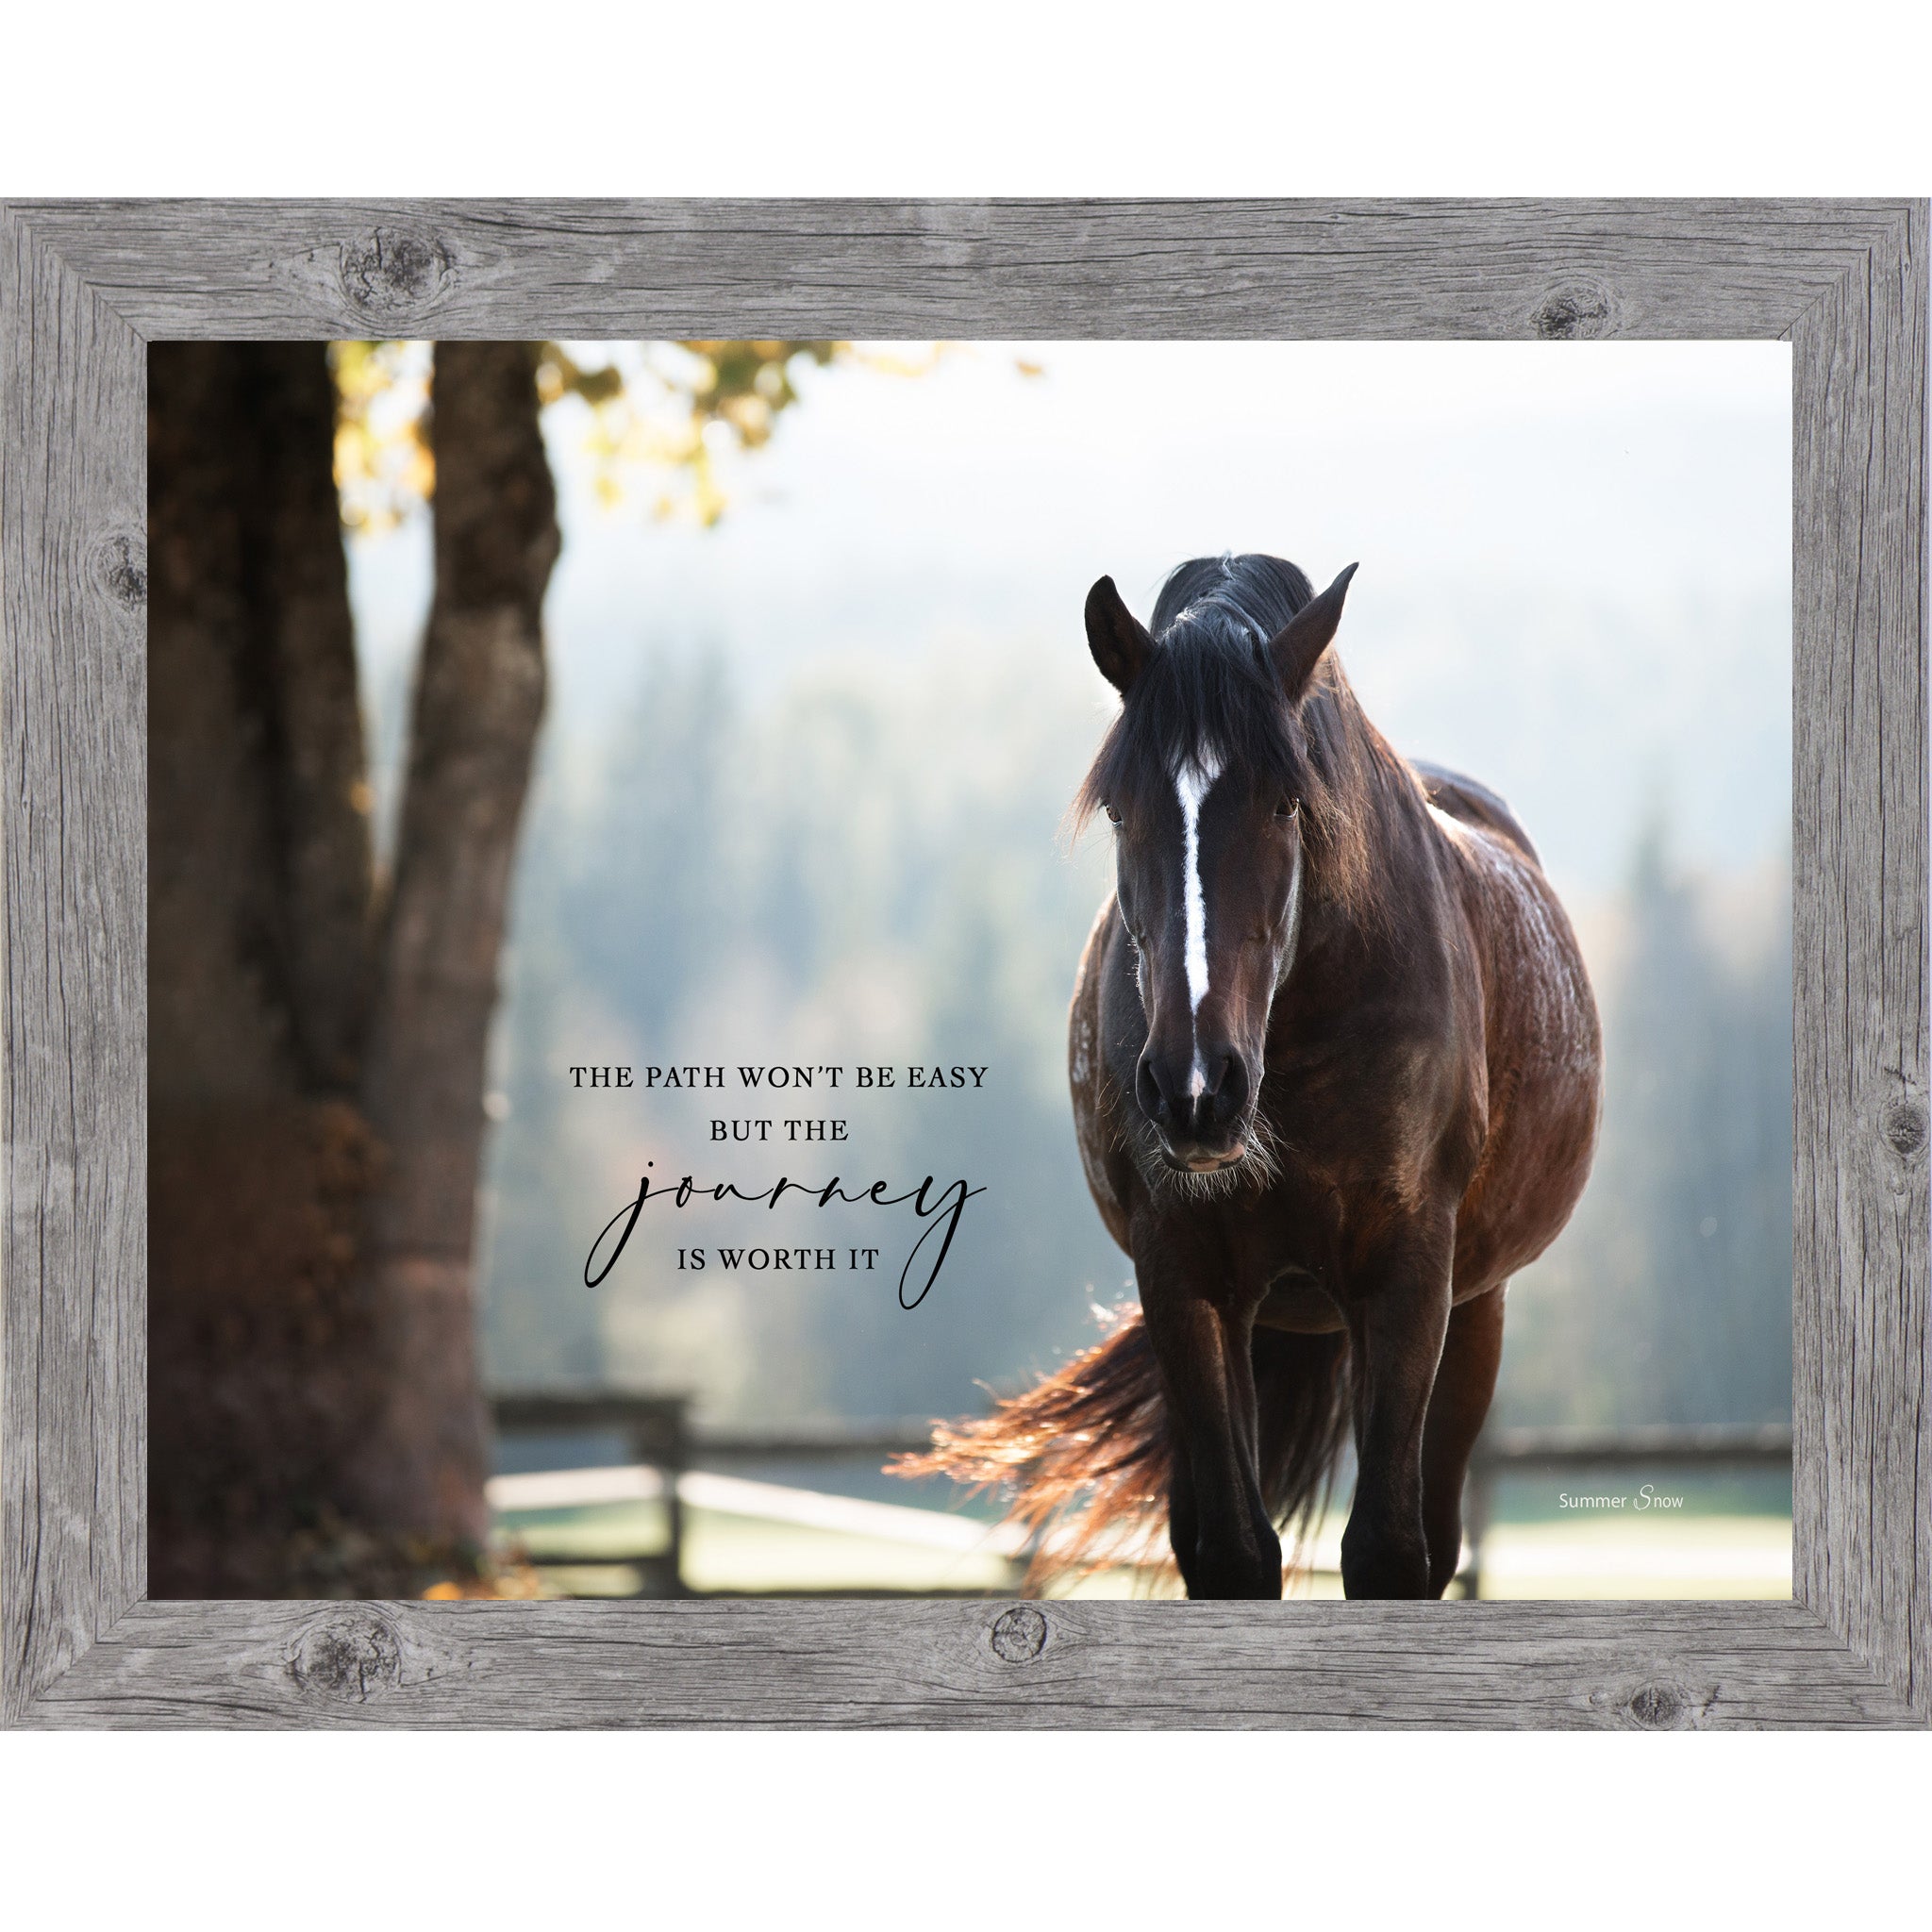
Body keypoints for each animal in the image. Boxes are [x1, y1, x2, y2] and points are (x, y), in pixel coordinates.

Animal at [900, 553, 1602, 1599]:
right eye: (1123, 810)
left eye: (1286, 801)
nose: (1196, 1089)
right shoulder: (1184, 1279)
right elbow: (1232, 1551)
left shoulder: (1409, 1279)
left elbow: (1388, 1551)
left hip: (1476, 1310)